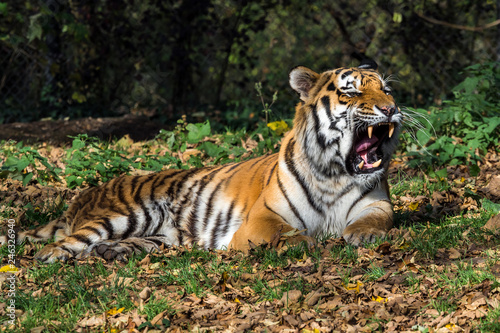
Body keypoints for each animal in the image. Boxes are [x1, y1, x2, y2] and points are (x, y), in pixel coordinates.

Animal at [0, 60, 400, 262]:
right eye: (352, 92)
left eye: (386, 89)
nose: (391, 109)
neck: (335, 173)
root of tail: (86, 195)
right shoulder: (262, 218)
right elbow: (286, 232)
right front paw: (304, 243)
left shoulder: (378, 203)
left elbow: (375, 220)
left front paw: (363, 234)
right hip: (125, 215)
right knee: (63, 243)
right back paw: (51, 258)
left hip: (161, 235)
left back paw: (113, 252)